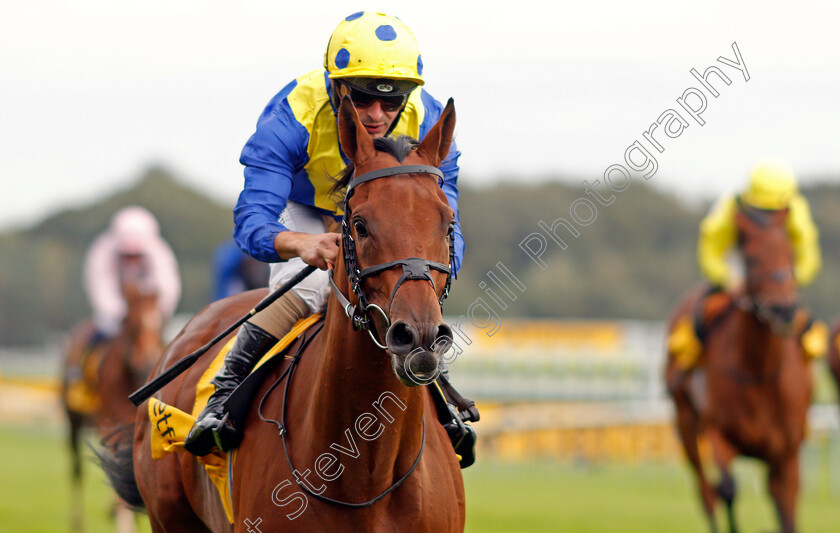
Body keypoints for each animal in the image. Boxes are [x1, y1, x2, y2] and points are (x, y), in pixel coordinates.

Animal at [61, 280, 165, 528]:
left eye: (159, 322)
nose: (146, 360)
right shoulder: (110, 421)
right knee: (76, 467)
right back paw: (78, 520)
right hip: (72, 418)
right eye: (132, 323)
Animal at [664, 203, 812, 532]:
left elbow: (787, 505)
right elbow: (728, 489)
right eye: (752, 258)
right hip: (685, 422)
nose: (783, 310)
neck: (759, 373)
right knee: (706, 491)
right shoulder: (719, 433)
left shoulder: (787, 450)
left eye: (790, 253)